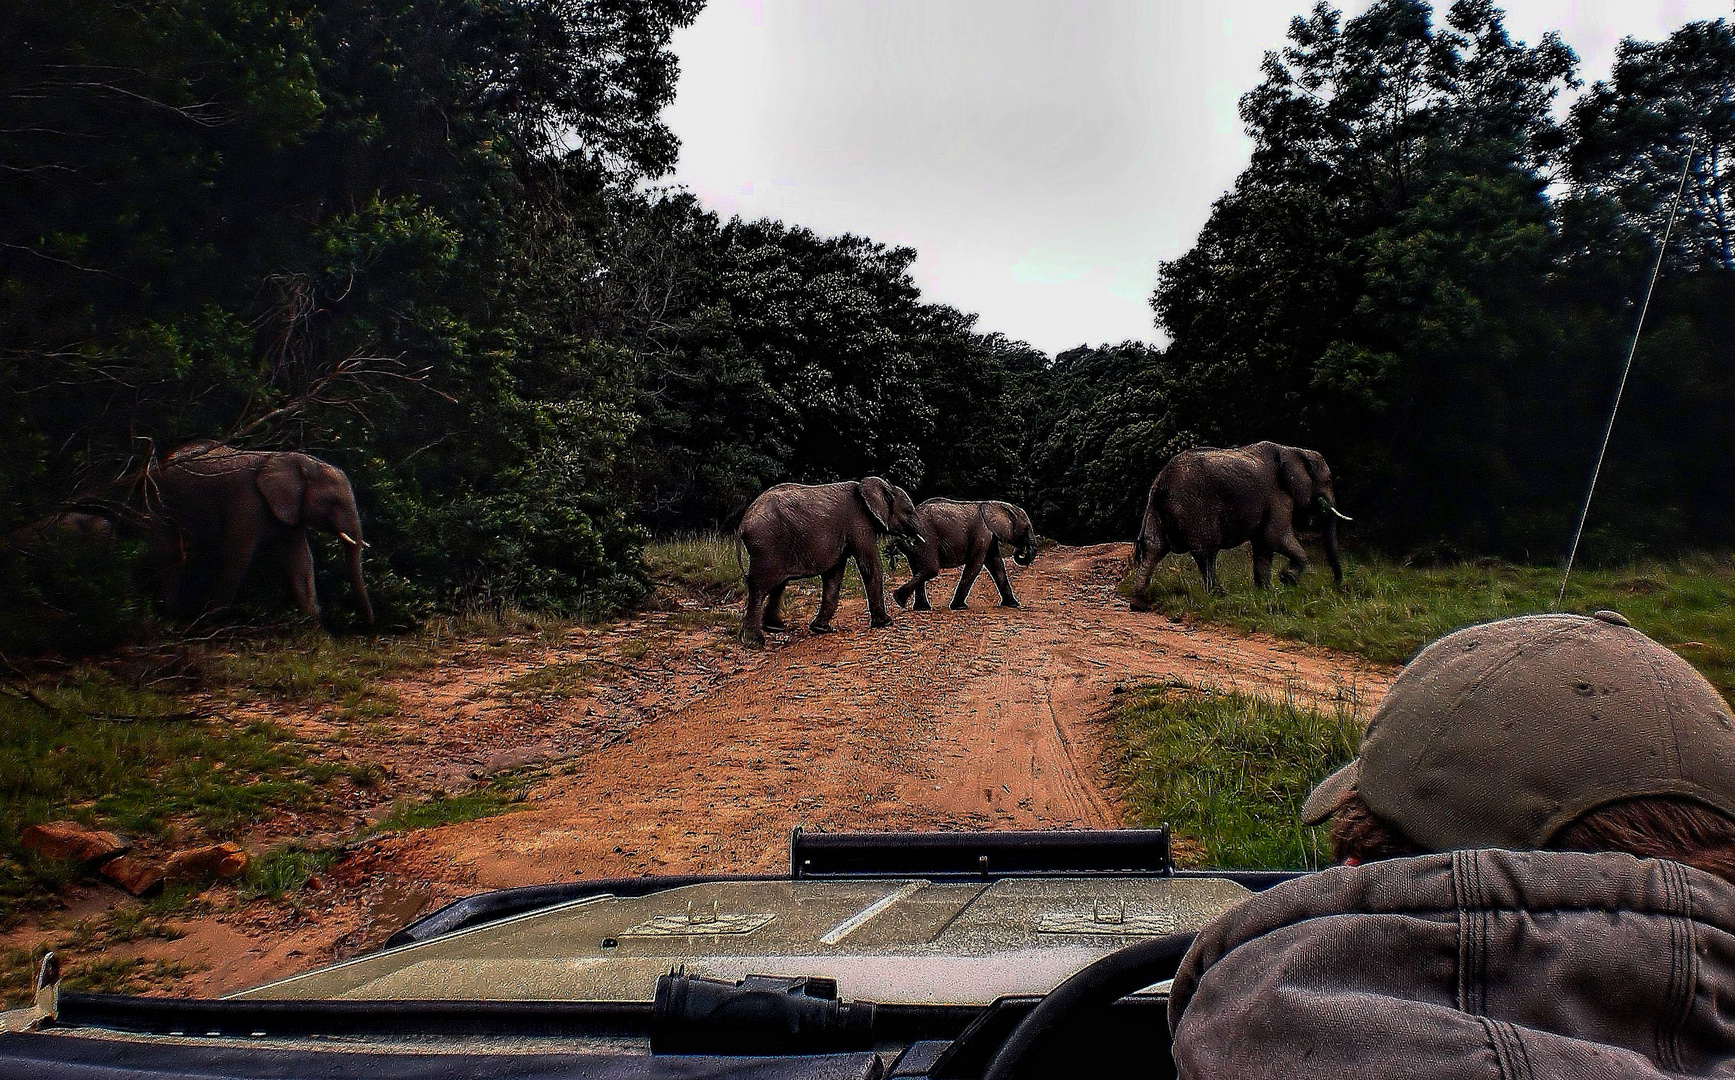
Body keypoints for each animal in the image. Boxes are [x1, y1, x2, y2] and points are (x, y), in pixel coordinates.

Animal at [147, 441, 374, 625]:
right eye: (333, 502)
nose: (370, 623)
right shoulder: (248, 499)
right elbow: (238, 553)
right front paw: (210, 620)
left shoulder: (290, 511)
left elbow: (299, 559)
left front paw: (312, 624)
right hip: (160, 498)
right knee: (168, 551)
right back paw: (167, 616)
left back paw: (171, 615)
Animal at [732, 479, 923, 645]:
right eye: (909, 511)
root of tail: (742, 524)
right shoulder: (859, 522)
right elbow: (869, 565)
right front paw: (885, 623)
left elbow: (834, 575)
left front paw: (821, 629)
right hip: (766, 545)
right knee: (760, 587)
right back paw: (754, 642)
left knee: (778, 584)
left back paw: (775, 628)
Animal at [888, 496, 1034, 611]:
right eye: (1027, 528)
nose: (1020, 551)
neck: (996, 504)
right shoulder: (982, 533)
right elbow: (976, 564)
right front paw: (959, 607)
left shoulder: (989, 536)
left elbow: (996, 565)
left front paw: (1013, 604)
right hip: (926, 536)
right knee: (930, 569)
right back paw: (901, 600)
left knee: (918, 569)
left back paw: (919, 607)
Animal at [1124, 442, 1353, 611]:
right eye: (1328, 480)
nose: (1337, 585)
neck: (1293, 450)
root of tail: (1161, 481)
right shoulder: (1277, 494)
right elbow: (1274, 537)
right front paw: (1287, 579)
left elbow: (1263, 545)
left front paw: (1266, 592)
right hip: (1194, 507)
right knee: (1206, 551)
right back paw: (1219, 595)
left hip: (1156, 508)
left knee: (1154, 548)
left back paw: (1138, 603)